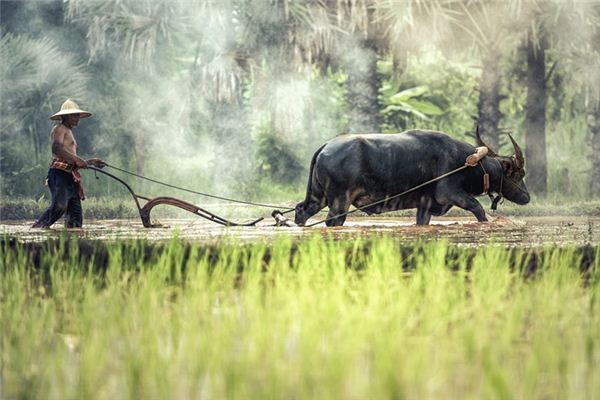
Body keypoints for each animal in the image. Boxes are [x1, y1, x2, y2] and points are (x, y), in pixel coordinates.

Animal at [296, 130, 528, 227]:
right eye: (519, 174)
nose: (527, 197)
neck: (467, 162)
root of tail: (326, 146)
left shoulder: (425, 207)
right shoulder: (453, 194)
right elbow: (479, 210)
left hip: (318, 197)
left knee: (302, 211)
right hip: (339, 202)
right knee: (332, 221)